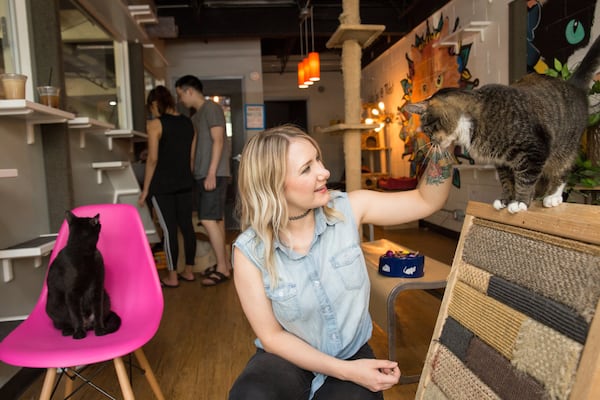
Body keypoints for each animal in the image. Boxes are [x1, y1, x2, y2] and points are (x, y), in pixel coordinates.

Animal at [46, 211, 121, 340]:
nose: (100, 222)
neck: (83, 251)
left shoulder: (97, 287)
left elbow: (98, 312)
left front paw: (100, 330)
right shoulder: (72, 293)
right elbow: (76, 315)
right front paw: (79, 333)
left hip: (106, 298)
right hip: (54, 305)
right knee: (64, 322)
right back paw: (68, 331)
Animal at [404, 36, 600, 214]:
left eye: (427, 129)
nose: (431, 142)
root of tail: (573, 85)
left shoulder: (534, 150)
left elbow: (525, 179)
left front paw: (520, 201)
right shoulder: (502, 161)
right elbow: (507, 181)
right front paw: (506, 199)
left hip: (564, 147)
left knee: (562, 169)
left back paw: (552, 196)